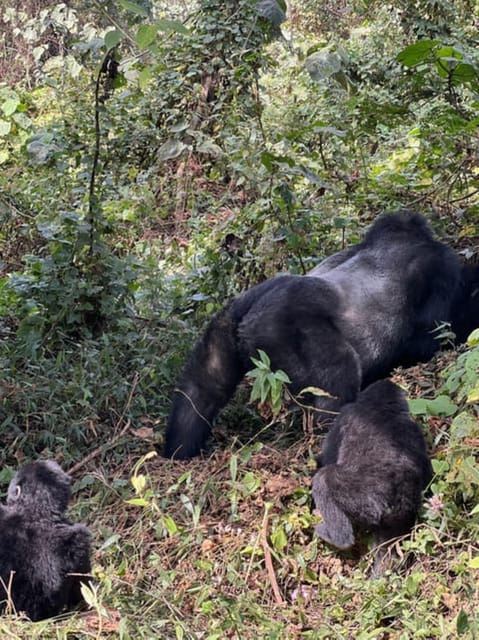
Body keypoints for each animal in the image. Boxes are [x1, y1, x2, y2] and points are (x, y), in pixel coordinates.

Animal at [164, 210, 478, 459]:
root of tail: (249, 316)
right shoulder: (442, 268)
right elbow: (432, 339)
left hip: (225, 322)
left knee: (203, 388)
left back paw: (177, 451)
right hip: (284, 329)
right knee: (338, 379)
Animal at [311, 380, 432, 571]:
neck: (380, 407)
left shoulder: (346, 414)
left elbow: (327, 457)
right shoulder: (415, 429)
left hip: (364, 501)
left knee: (324, 479)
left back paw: (337, 538)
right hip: (398, 516)